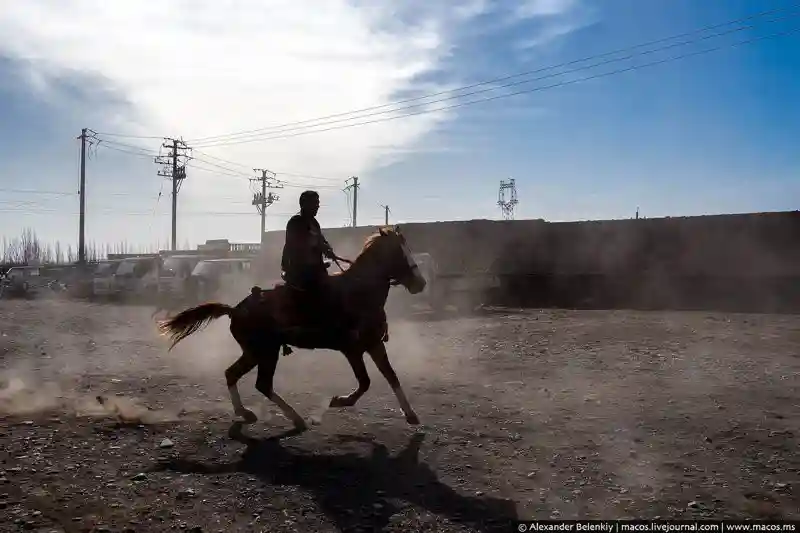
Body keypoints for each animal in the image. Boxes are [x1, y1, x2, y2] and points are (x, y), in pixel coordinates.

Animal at [159, 224, 428, 428]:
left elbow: (391, 376)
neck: (359, 292)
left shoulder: (373, 345)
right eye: (399, 252)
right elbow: (365, 382)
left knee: (234, 375)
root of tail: (235, 309)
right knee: (260, 383)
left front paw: (411, 414)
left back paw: (249, 413)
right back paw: (294, 417)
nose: (420, 284)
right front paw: (338, 400)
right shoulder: (352, 350)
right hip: (264, 352)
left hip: (256, 353)